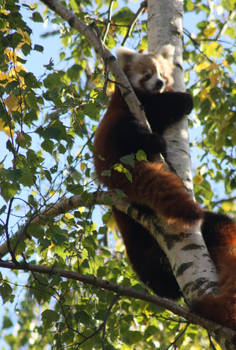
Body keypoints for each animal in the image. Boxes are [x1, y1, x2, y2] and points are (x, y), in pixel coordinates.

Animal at [93, 45, 236, 330]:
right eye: (147, 74)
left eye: (162, 73)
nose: (160, 83)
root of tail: (110, 170)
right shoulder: (131, 99)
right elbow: (158, 106)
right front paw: (184, 99)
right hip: (115, 135)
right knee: (130, 133)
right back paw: (152, 143)